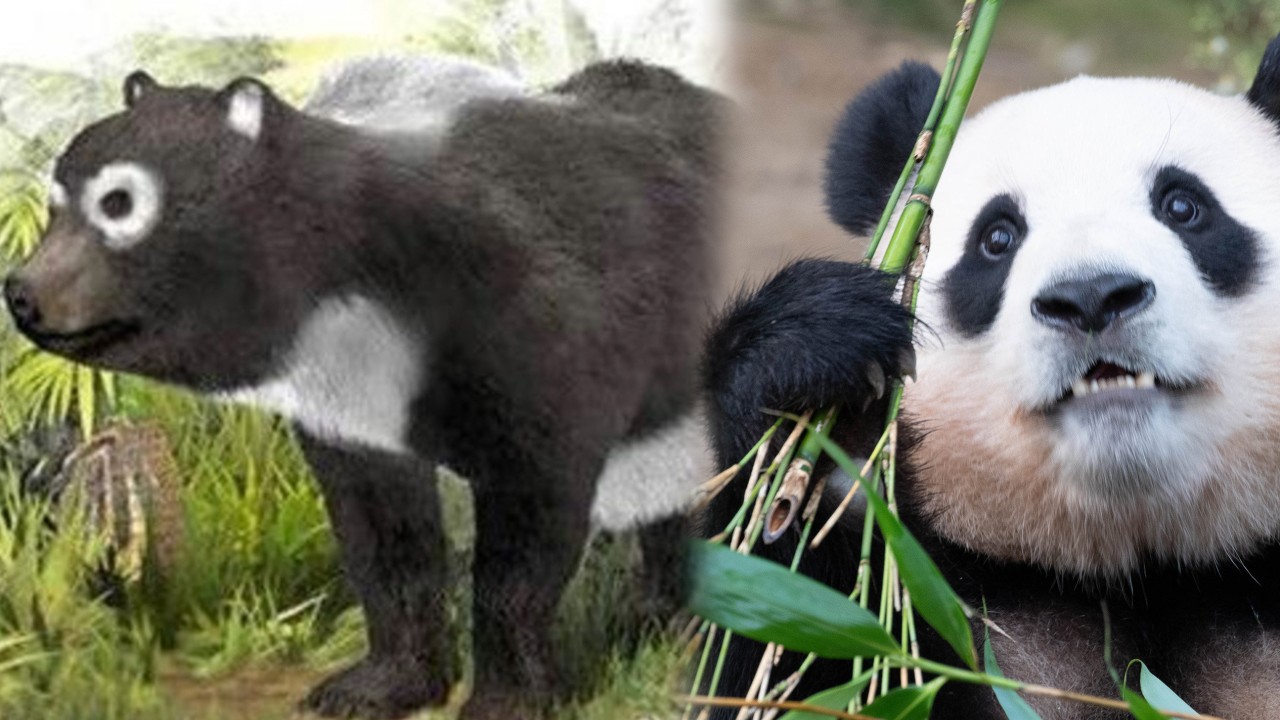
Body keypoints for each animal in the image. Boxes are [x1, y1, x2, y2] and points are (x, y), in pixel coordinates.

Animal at [3, 56, 720, 719]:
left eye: (119, 202)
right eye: (55, 202)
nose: (22, 293)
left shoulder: (541, 331)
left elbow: (528, 517)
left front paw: (508, 698)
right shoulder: (351, 389)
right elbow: (383, 530)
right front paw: (375, 685)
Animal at [700, 34, 1280, 720]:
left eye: (1184, 206)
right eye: (997, 237)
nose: (1091, 298)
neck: (1138, 570)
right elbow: (785, 642)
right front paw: (818, 396)